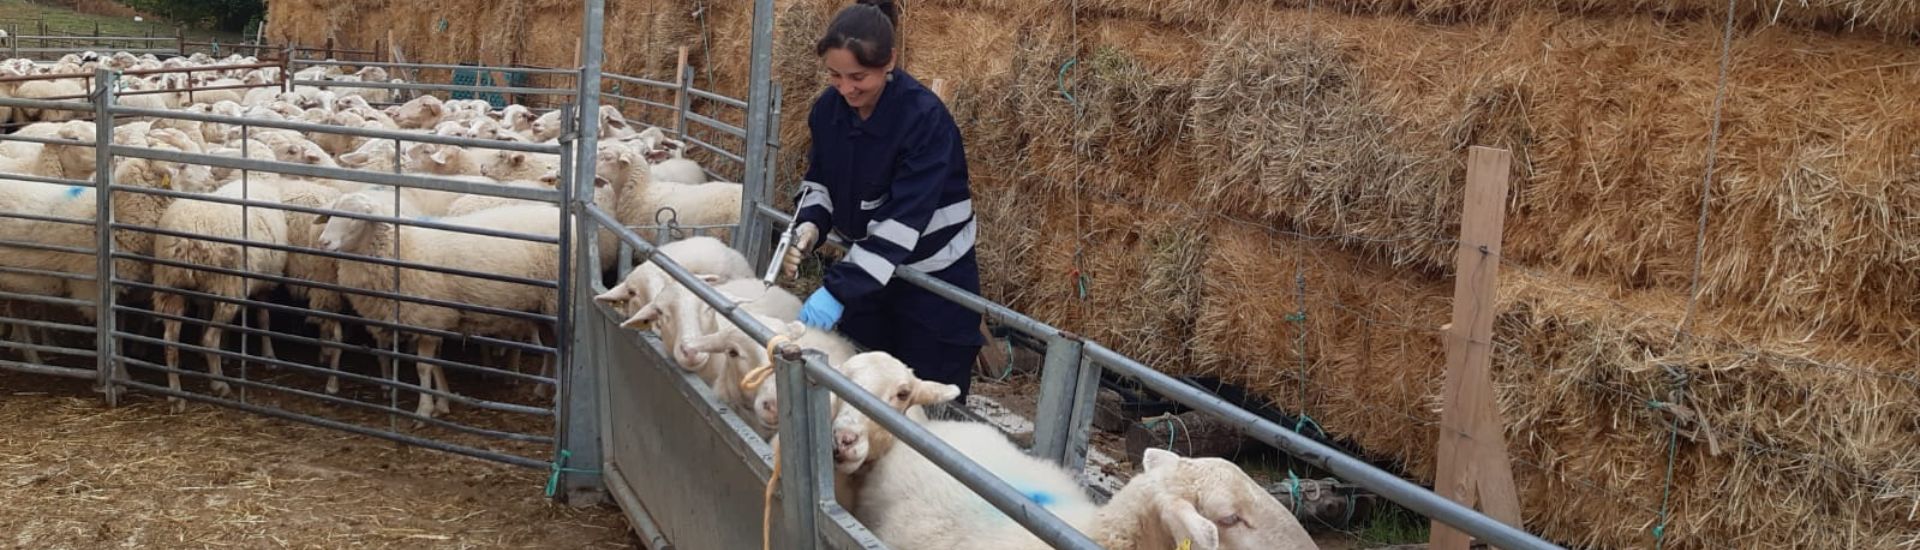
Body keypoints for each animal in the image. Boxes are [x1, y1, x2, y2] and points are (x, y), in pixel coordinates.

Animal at [149, 180, 288, 407]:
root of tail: (186, 239)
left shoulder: (208, 293)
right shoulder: (263, 283)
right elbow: (264, 319)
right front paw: (269, 356)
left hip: (169, 287)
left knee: (170, 341)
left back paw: (176, 394)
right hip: (228, 287)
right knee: (209, 340)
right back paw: (219, 384)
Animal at [318, 191, 560, 419]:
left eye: (355, 216)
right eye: (331, 214)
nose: (323, 242)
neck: (403, 248)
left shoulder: (427, 319)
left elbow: (424, 367)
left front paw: (423, 410)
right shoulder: (433, 323)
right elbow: (435, 365)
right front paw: (442, 403)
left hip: (554, 304)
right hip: (540, 308)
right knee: (552, 347)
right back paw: (541, 389)